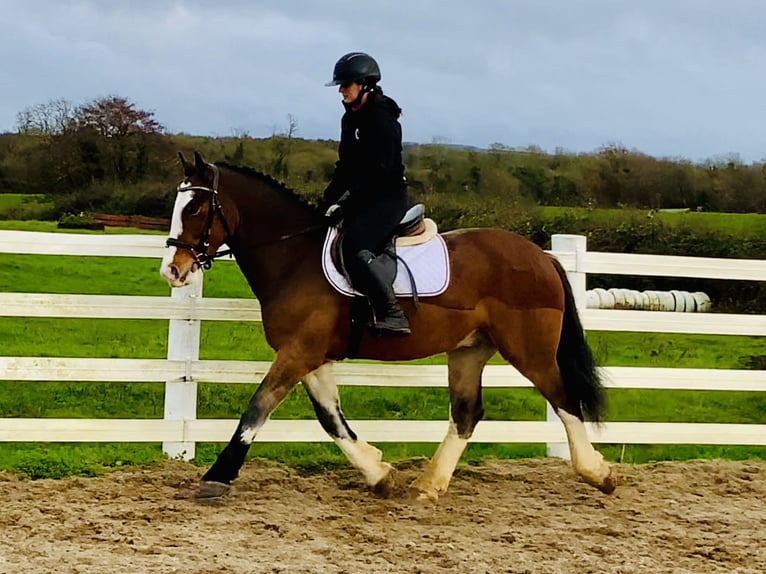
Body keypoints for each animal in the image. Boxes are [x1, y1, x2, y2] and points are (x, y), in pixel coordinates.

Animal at [160, 151, 616, 501]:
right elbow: (330, 418)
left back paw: (598, 473)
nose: (172, 271)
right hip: (469, 350)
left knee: (563, 397)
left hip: (529, 349)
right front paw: (379, 474)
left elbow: (258, 407)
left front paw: (217, 478)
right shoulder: (312, 356)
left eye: (195, 207)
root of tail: (542, 256)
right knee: (466, 413)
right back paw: (429, 485)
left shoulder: (299, 351)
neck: (294, 257)